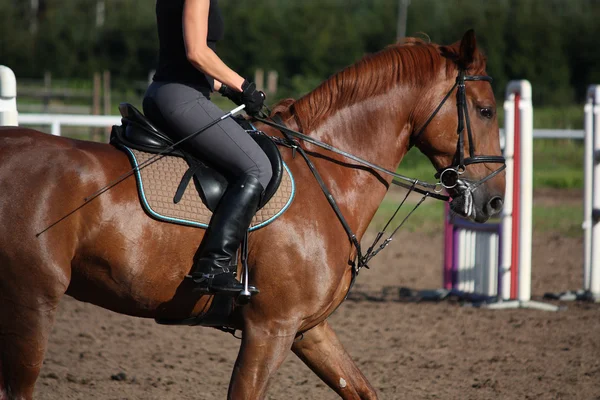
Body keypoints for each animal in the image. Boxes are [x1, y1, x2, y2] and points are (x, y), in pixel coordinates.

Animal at [0, 31, 504, 400]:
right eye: (484, 110)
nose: (495, 202)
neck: (327, 175)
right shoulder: (269, 329)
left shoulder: (307, 329)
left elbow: (361, 389)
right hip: (31, 302)